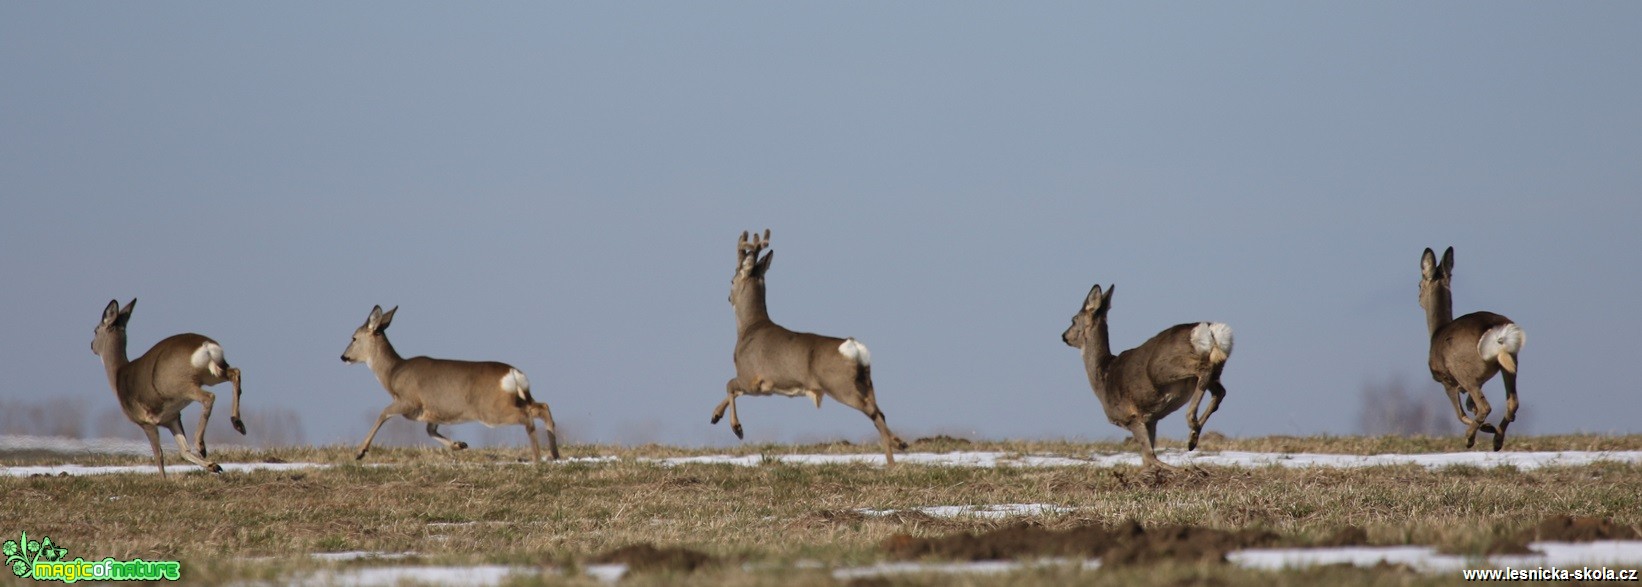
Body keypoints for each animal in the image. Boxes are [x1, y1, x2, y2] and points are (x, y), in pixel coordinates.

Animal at [91, 297, 244, 476]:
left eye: (95, 330)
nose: (91, 345)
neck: (118, 376)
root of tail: (207, 346)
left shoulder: (145, 421)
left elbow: (159, 455)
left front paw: (163, 479)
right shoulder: (172, 417)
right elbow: (183, 451)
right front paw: (214, 466)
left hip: (182, 385)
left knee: (209, 397)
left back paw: (201, 445)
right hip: (212, 374)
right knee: (235, 373)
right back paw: (238, 424)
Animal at [338, 304, 558, 460]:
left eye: (354, 338)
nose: (343, 357)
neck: (393, 374)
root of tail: (512, 373)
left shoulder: (409, 400)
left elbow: (383, 413)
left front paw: (360, 451)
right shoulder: (434, 412)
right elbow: (430, 430)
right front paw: (459, 445)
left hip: (490, 409)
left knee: (527, 417)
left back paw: (537, 458)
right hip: (520, 398)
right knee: (542, 407)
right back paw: (554, 455)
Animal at [709, 228, 912, 460]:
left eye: (731, 280)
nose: (728, 297)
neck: (749, 328)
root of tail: (854, 348)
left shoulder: (753, 378)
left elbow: (729, 385)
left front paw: (737, 428)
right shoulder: (757, 383)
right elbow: (732, 389)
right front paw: (715, 416)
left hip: (839, 384)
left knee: (873, 412)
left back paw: (896, 451)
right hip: (865, 381)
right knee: (880, 412)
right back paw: (896, 448)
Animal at [1064, 281, 1234, 470]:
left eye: (1073, 319)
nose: (1064, 336)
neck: (1103, 378)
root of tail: (1210, 330)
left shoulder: (1131, 417)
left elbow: (1149, 457)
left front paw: (1184, 470)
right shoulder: (1151, 420)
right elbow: (1147, 459)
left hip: (1162, 370)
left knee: (1203, 372)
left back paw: (1191, 424)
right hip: (1216, 367)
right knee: (1220, 391)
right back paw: (1192, 438)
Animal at [1412, 244, 1523, 450]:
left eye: (1419, 284)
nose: (1418, 298)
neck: (1437, 332)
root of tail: (1495, 331)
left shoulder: (1446, 379)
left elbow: (1461, 414)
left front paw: (1484, 428)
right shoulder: (1480, 379)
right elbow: (1470, 405)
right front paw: (1489, 427)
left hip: (1463, 370)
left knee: (1485, 406)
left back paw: (1470, 438)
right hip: (1509, 363)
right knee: (1512, 402)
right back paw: (1497, 440)